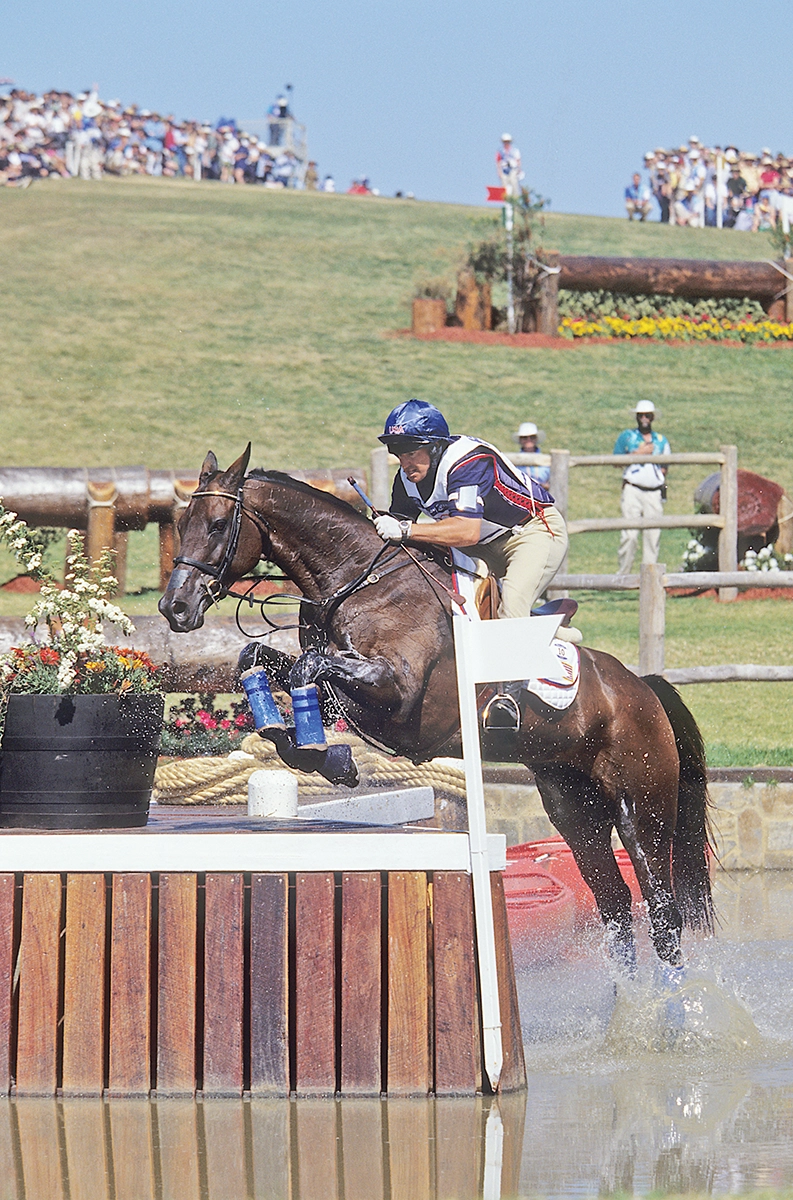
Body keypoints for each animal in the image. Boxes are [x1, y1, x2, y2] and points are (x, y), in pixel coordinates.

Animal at [159, 446, 714, 972]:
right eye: (181, 524)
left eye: (216, 524)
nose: (174, 607)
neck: (360, 581)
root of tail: (642, 689)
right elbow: (257, 659)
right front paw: (310, 750)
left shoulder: (397, 691)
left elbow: (307, 670)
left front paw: (324, 753)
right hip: (574, 807)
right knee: (615, 905)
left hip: (641, 805)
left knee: (662, 911)